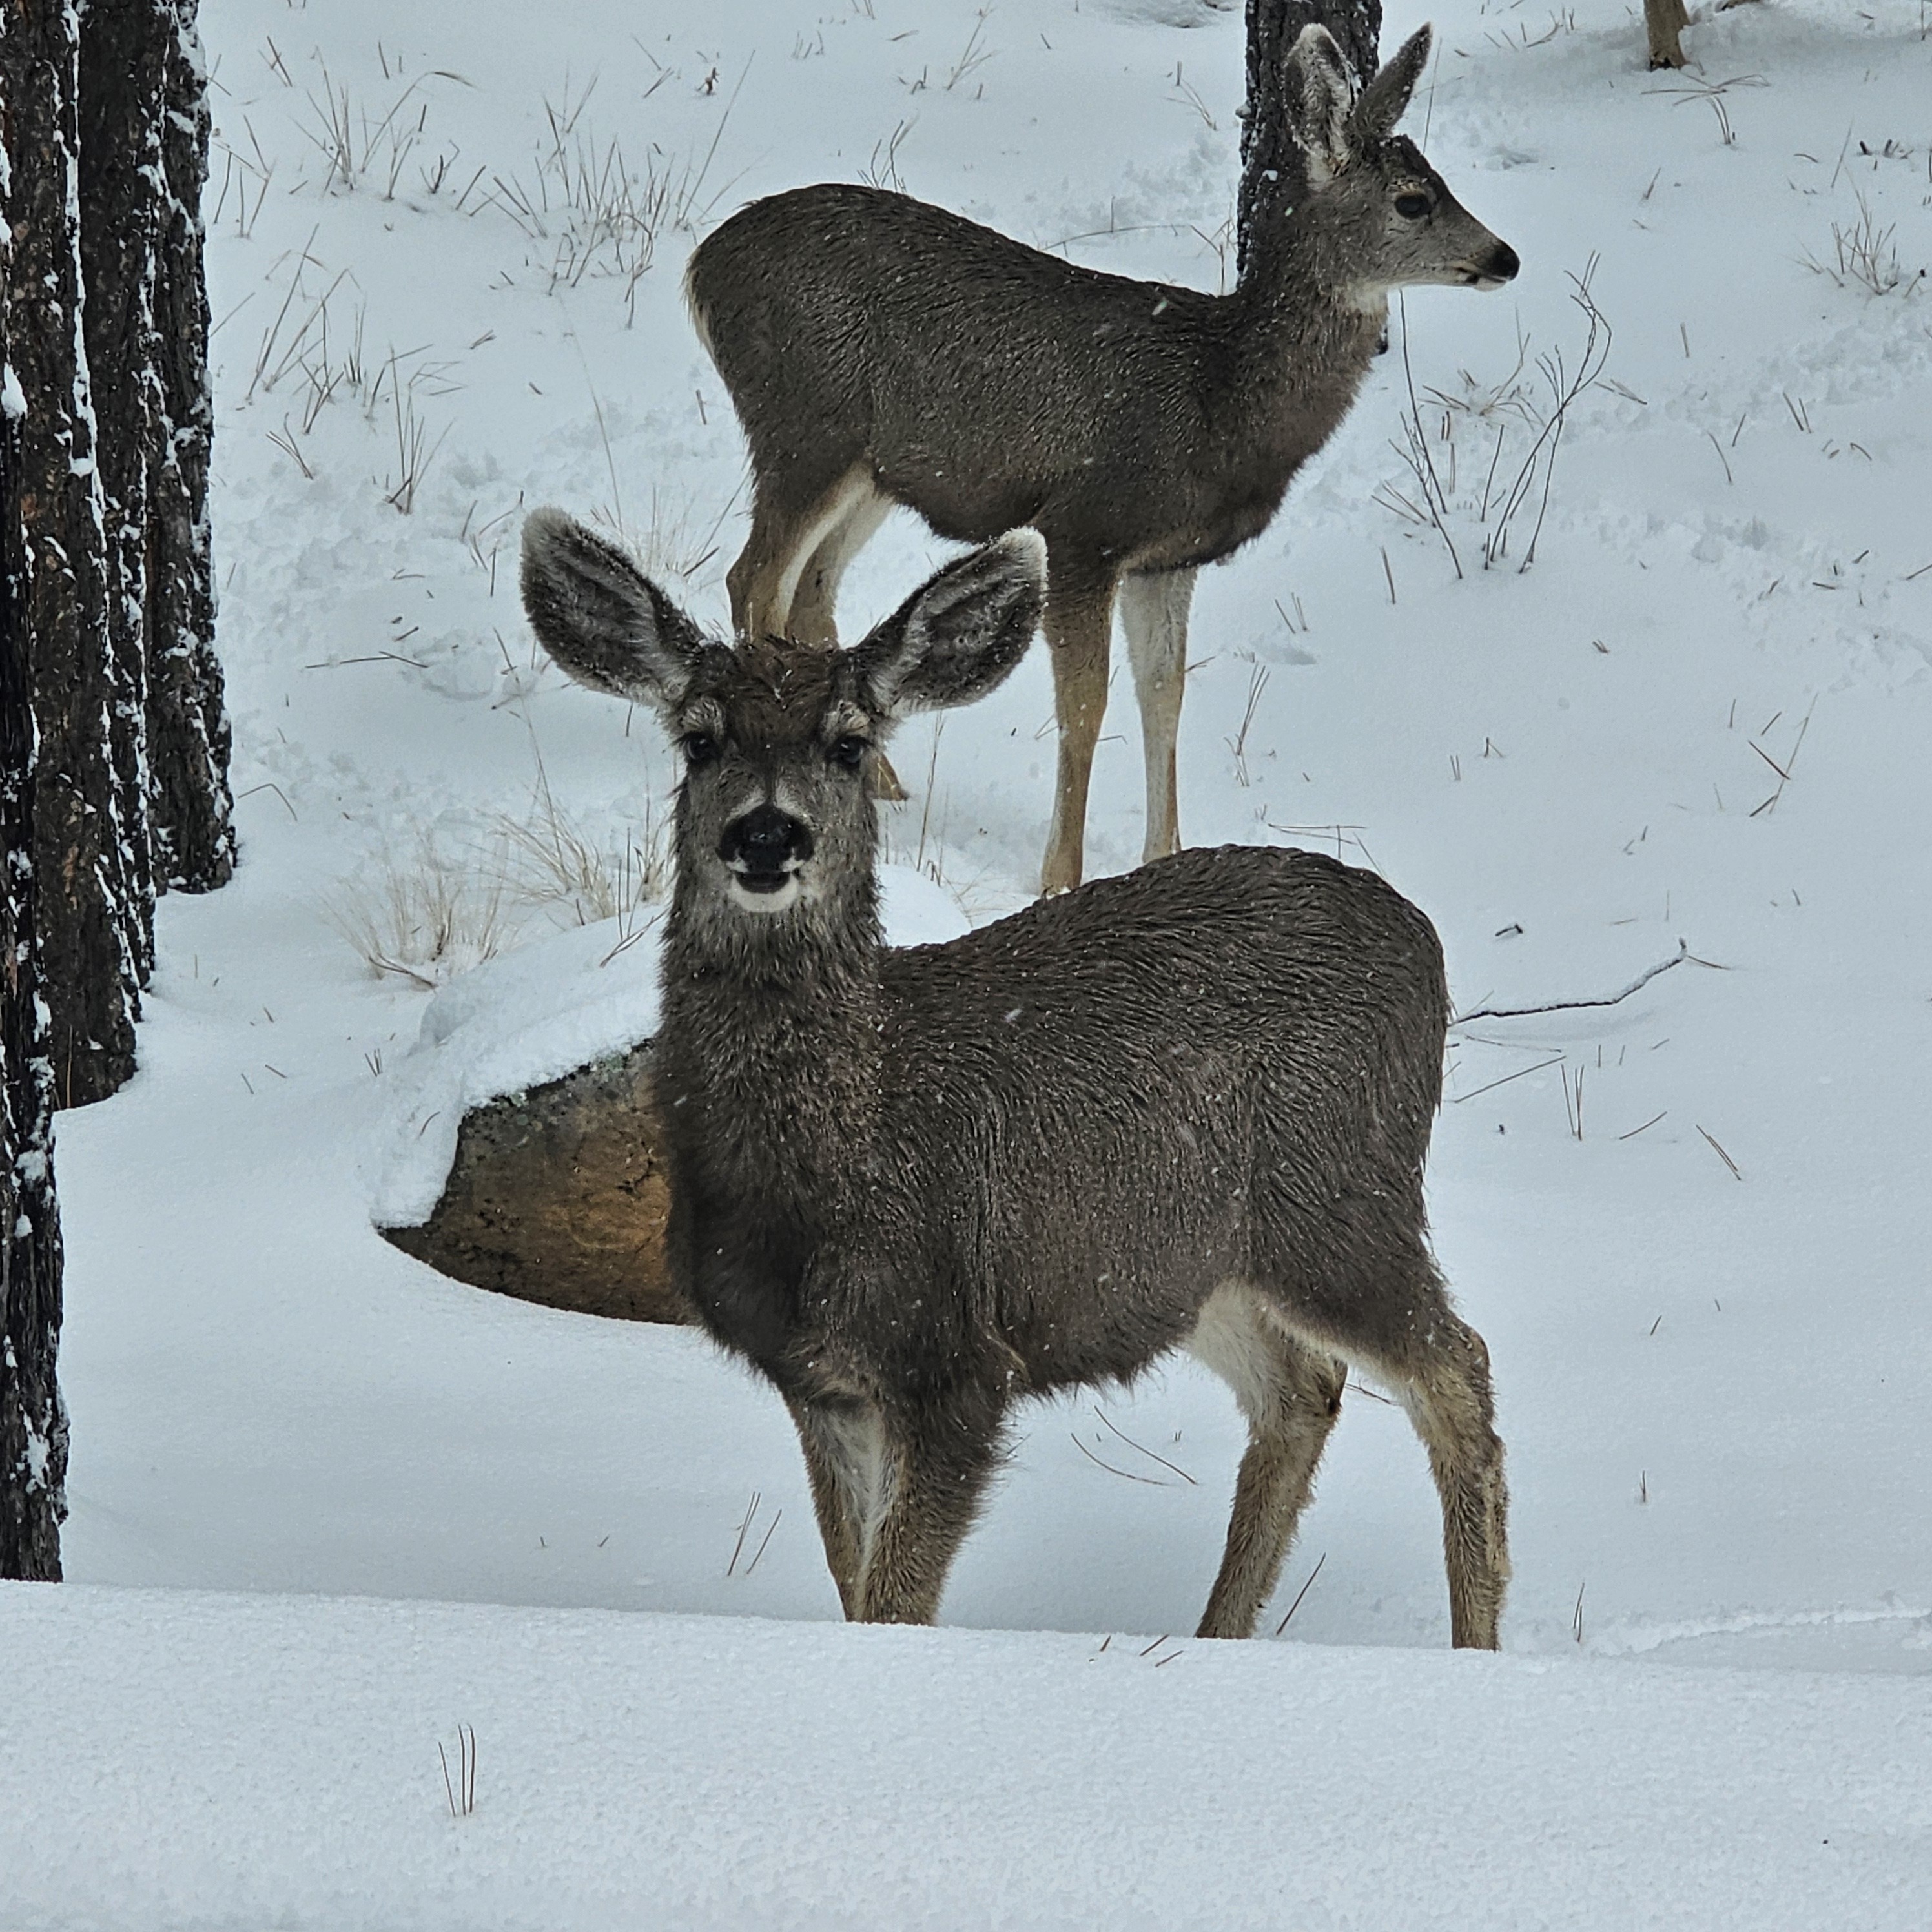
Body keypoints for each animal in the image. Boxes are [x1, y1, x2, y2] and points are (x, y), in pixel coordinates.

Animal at [520, 505, 1510, 1647]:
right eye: (700, 737)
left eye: (849, 742)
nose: (767, 834)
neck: (835, 1156)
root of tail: (1425, 942)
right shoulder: (820, 1378)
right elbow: (852, 1582)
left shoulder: (953, 1359)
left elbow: (894, 1604)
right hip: (1192, 1260)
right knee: (1305, 1384)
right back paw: (1219, 1634)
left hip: (1341, 1198)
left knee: (1457, 1369)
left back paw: (1472, 1651)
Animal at [684, 23, 1519, 894]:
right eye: (1413, 200)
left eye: (1439, 181)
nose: (1505, 258)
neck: (1219, 398)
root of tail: (701, 265)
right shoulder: (1085, 526)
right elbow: (1086, 707)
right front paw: (1061, 875)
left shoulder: (1167, 558)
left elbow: (1165, 697)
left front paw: (1166, 855)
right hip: (804, 424)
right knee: (755, 579)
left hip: (879, 469)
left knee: (812, 589)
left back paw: (883, 785)